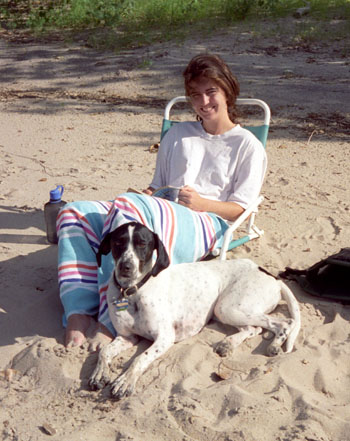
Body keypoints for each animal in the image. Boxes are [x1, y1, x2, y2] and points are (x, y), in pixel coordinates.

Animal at [89, 222, 300, 398]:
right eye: (118, 242)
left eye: (142, 244)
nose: (126, 267)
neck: (133, 292)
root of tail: (271, 275)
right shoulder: (127, 337)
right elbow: (104, 351)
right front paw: (99, 373)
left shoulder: (164, 338)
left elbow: (140, 358)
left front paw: (125, 381)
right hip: (228, 311)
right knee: (253, 329)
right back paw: (228, 344)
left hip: (228, 307)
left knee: (283, 323)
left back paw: (274, 344)